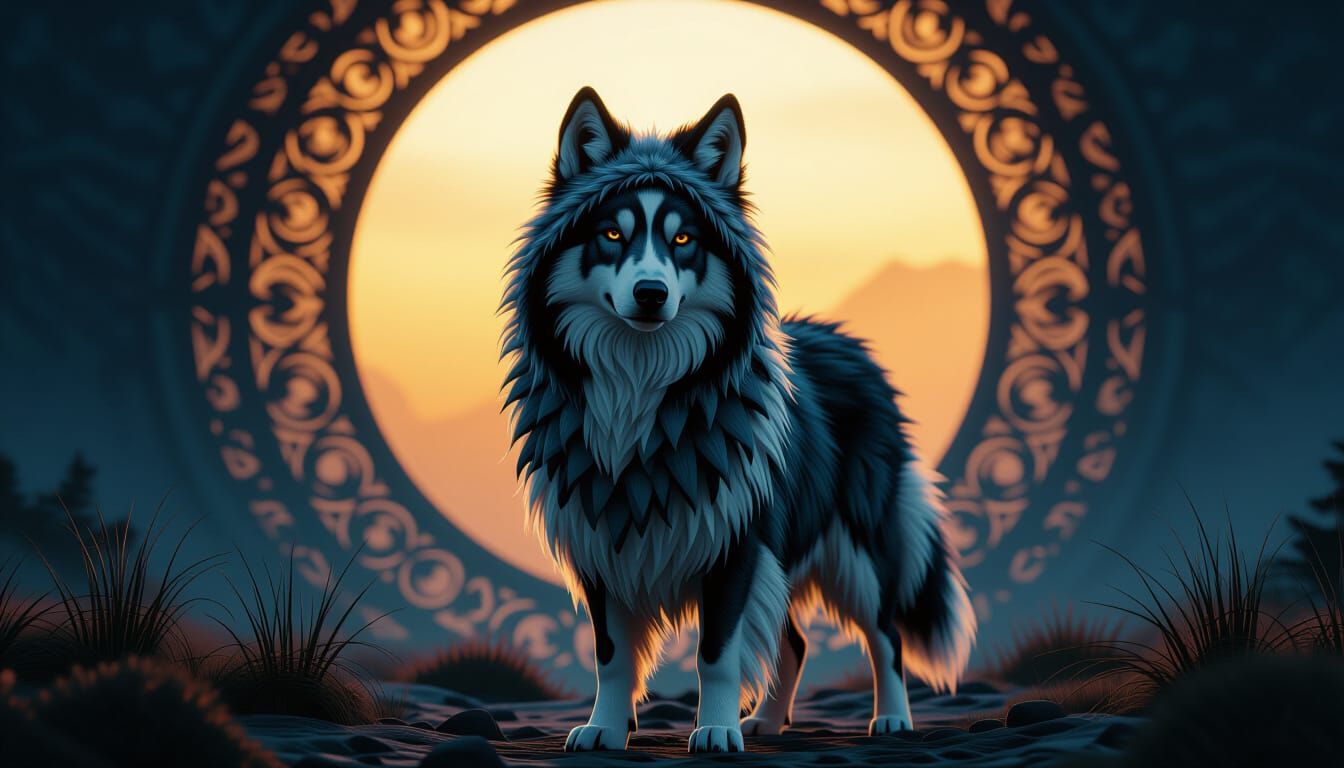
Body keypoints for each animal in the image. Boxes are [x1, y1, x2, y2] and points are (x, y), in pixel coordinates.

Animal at [500, 87, 976, 753]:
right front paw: (604, 729)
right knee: (794, 643)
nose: (650, 293)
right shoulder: (602, 539)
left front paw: (716, 731)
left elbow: (717, 655)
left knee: (887, 636)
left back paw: (891, 719)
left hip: (858, 549)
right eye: (612, 233)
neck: (642, 387)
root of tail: (849, 345)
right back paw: (769, 723)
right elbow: (611, 656)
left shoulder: (736, 545)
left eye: (683, 241)